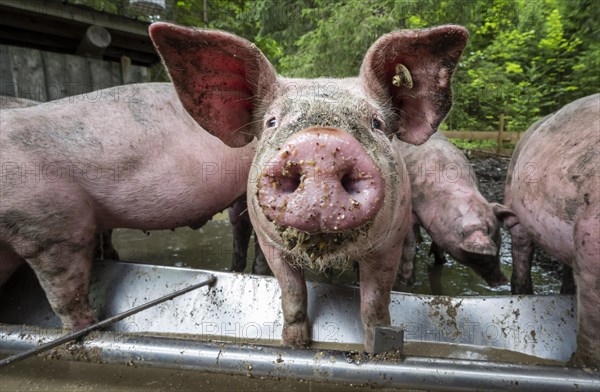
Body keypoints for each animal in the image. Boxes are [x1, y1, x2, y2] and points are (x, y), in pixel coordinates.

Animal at [150, 22, 468, 352]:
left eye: (376, 123)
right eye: (271, 122)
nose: (322, 144)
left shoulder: (390, 242)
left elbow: (375, 303)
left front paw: (374, 348)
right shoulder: (270, 243)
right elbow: (292, 293)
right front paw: (294, 344)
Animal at [396, 132, 508, 290]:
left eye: (500, 245)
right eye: (483, 257)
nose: (503, 281)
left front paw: (442, 261)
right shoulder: (410, 212)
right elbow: (408, 248)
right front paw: (407, 283)